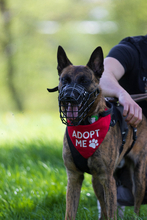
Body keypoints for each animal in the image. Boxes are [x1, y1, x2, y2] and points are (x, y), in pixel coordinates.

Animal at [48, 45, 147, 219]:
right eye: (64, 80)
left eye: (84, 81)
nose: (68, 96)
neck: (85, 125)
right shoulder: (74, 178)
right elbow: (70, 213)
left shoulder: (108, 180)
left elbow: (112, 212)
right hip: (96, 182)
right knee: (104, 212)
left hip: (138, 176)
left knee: (135, 206)